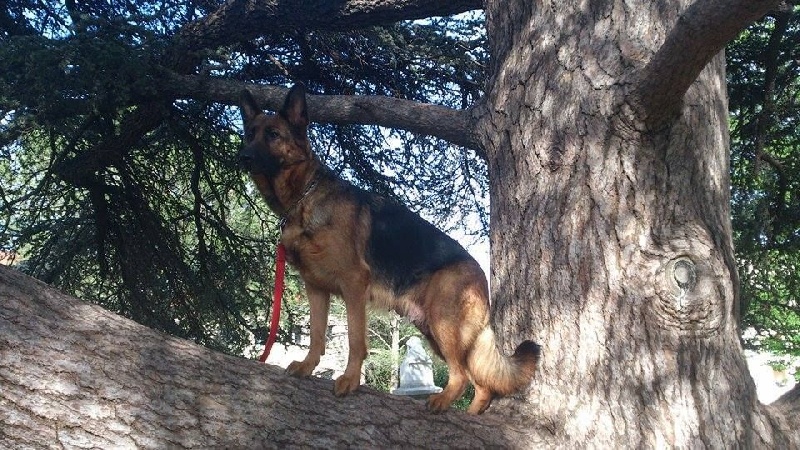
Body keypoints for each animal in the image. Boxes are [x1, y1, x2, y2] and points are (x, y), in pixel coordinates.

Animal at [238, 83, 539, 414]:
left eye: (273, 135)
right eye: (249, 133)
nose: (243, 156)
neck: (305, 198)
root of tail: (479, 272)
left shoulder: (353, 285)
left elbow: (356, 340)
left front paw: (350, 380)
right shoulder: (315, 289)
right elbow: (317, 336)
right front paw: (307, 366)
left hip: (443, 324)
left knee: (461, 375)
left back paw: (442, 401)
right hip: (434, 331)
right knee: (481, 383)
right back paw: (470, 416)